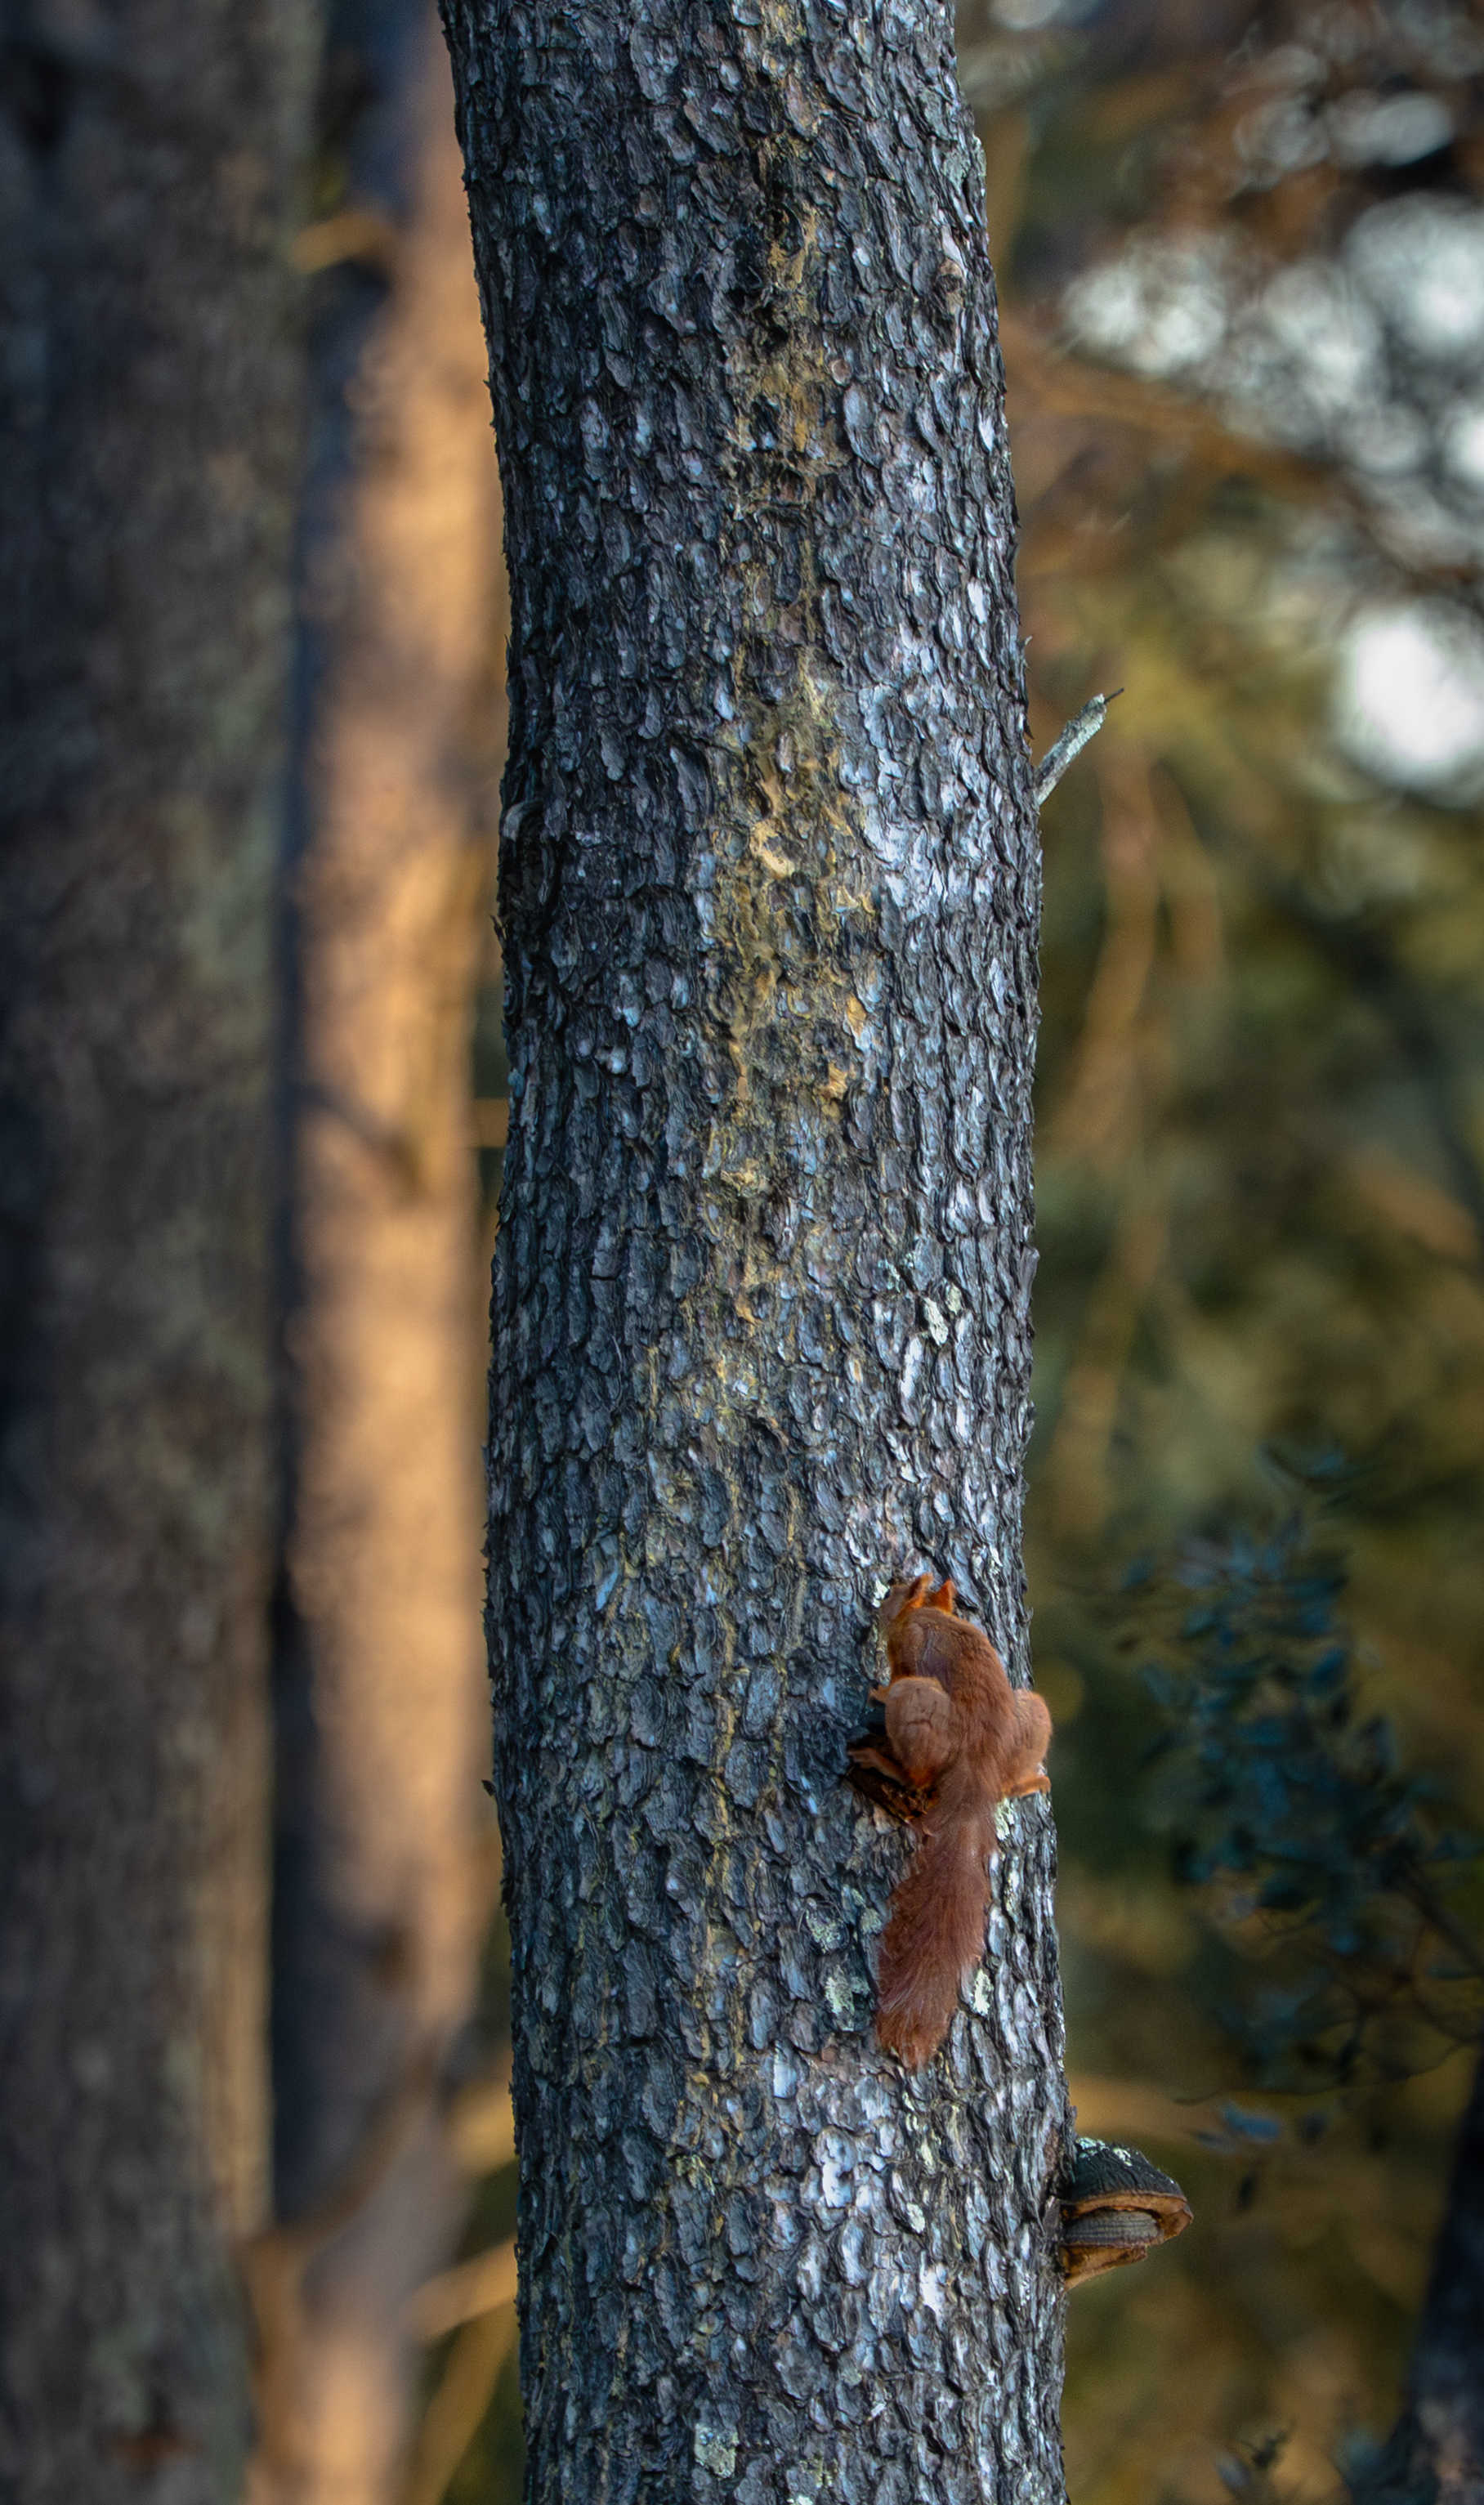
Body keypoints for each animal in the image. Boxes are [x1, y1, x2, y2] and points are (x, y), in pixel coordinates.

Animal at [848, 1574, 1051, 2070]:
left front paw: (876, 1691)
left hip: (918, 1705)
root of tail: (979, 1768)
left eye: (895, 1591)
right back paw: (1029, 1782)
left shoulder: (906, 1651)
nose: (877, 1605)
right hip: (1031, 1713)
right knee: (1010, 1780)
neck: (930, 1614)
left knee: (917, 1770)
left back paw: (885, 1761)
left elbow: (896, 1672)